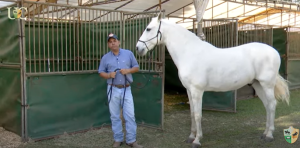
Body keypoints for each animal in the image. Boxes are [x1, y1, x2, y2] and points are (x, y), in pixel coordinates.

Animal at [137, 13, 290, 147]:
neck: (190, 53)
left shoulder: (197, 91)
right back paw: (264, 133)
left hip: (267, 85)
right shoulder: (189, 90)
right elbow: (191, 113)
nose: (138, 48)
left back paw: (269, 135)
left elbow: (198, 115)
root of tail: (274, 51)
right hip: (258, 85)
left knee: (272, 104)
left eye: (148, 28)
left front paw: (197, 140)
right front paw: (191, 137)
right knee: (267, 106)